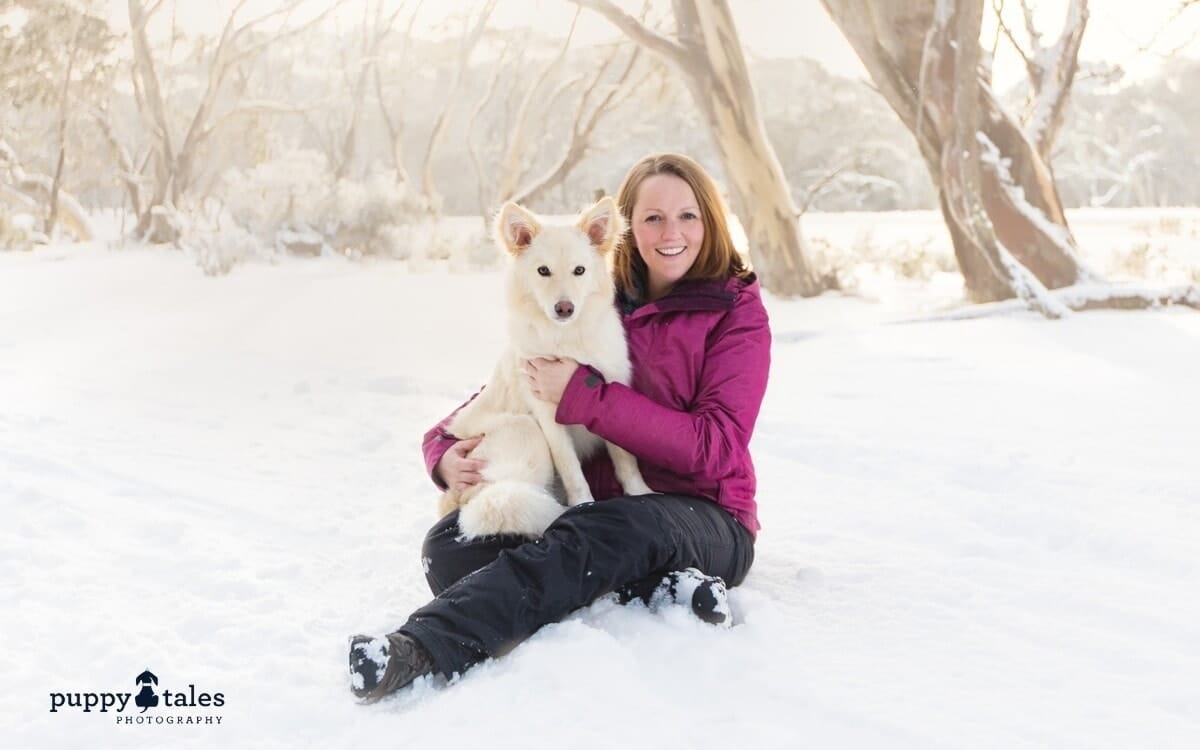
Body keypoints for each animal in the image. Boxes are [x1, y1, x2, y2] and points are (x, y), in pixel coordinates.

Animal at [439, 198, 652, 537]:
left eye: (579, 270)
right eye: (543, 271)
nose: (564, 308)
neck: (567, 339)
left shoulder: (612, 391)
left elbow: (625, 458)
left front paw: (641, 494)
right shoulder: (547, 415)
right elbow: (572, 469)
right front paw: (583, 506)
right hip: (525, 430)